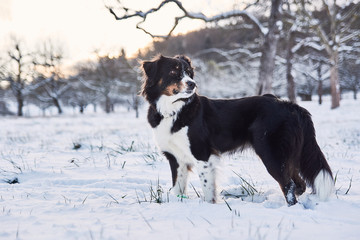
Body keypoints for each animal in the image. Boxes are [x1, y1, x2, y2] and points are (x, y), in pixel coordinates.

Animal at [141, 54, 334, 206]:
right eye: (174, 72)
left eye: (189, 73)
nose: (192, 84)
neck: (174, 109)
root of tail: (290, 105)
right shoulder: (176, 158)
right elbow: (178, 188)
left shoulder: (202, 154)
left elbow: (208, 189)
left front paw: (209, 206)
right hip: (286, 156)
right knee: (299, 184)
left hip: (271, 153)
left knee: (289, 185)